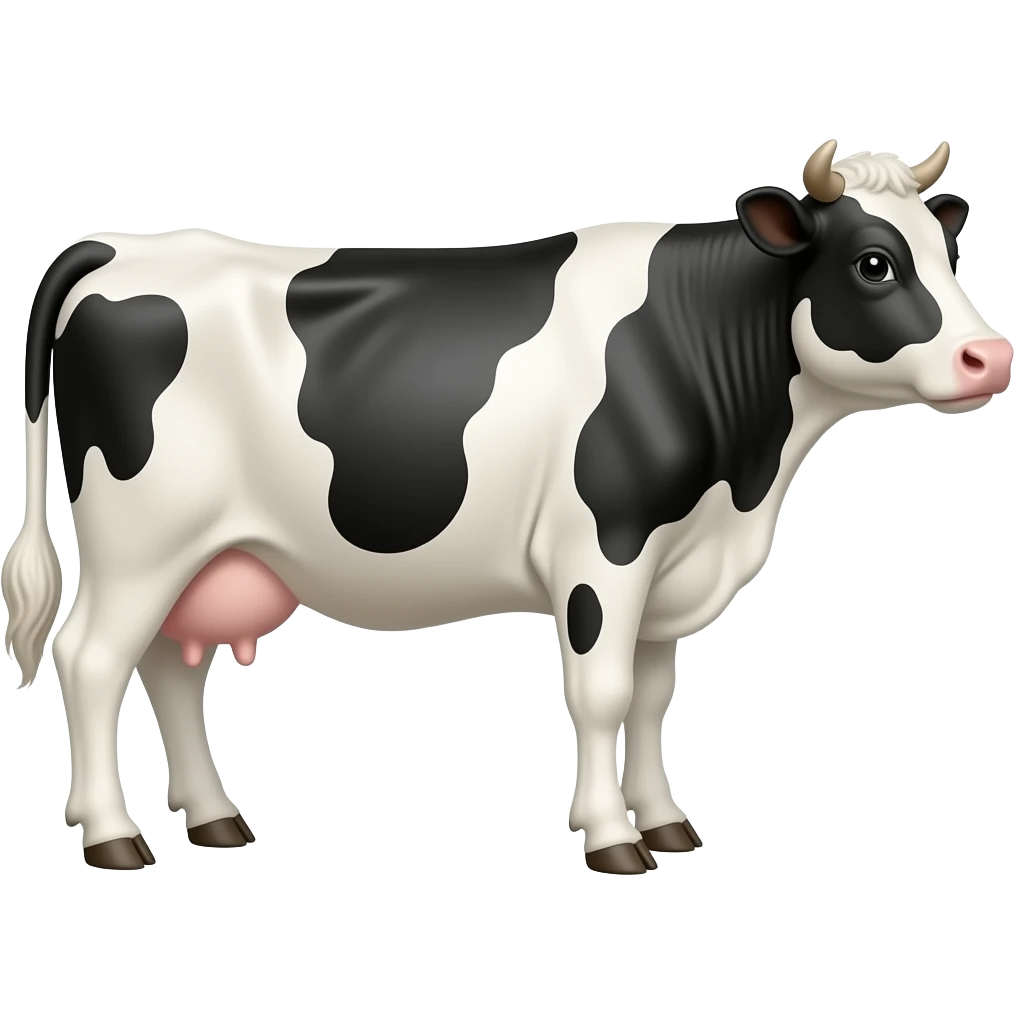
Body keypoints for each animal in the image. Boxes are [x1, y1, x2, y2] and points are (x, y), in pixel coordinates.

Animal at [3, 140, 1011, 874]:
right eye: (874, 264)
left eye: (947, 250)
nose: (989, 357)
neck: (745, 477)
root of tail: (124, 243)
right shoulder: (604, 550)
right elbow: (602, 694)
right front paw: (612, 839)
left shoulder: (669, 562)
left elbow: (652, 697)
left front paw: (667, 822)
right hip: (141, 536)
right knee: (90, 660)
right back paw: (113, 835)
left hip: (201, 550)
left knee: (168, 668)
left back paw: (214, 818)